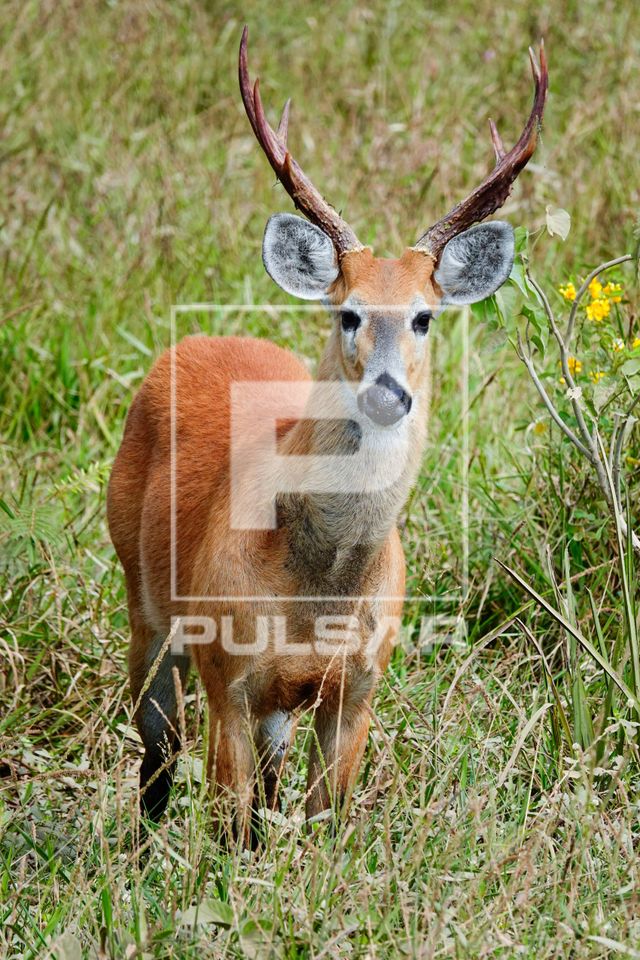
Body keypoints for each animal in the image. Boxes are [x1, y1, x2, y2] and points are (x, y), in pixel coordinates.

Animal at [107, 27, 547, 844]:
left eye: (423, 316)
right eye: (348, 312)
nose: (389, 392)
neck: (315, 596)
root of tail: (195, 341)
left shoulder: (359, 686)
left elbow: (327, 824)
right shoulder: (228, 674)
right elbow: (227, 824)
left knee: (263, 780)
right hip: (143, 601)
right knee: (157, 752)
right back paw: (143, 851)